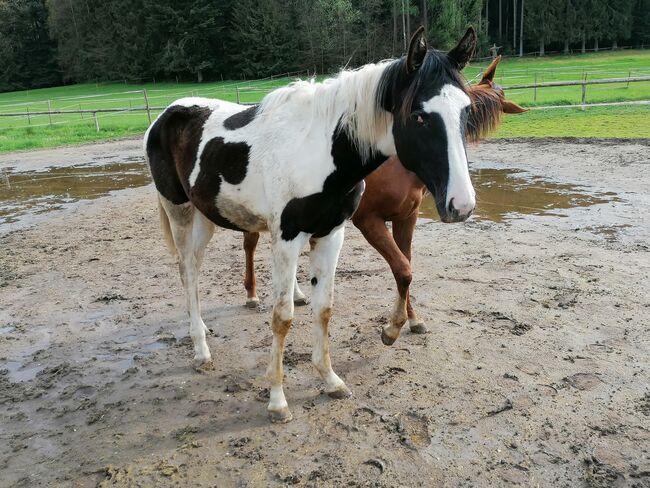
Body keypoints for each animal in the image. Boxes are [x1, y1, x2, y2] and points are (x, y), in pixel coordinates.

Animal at [146, 27, 476, 424]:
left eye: (467, 110)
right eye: (419, 117)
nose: (461, 205)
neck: (321, 150)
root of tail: (166, 114)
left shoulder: (331, 234)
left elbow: (325, 308)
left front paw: (330, 380)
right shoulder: (288, 237)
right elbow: (282, 317)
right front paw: (277, 400)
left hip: (205, 216)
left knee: (193, 267)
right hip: (179, 212)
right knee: (188, 271)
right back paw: (200, 349)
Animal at [240, 56, 524, 336]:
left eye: (467, 113)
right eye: (421, 119)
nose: (460, 204)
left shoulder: (407, 217)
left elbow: (405, 266)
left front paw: (412, 319)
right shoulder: (369, 220)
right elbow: (401, 268)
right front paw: (394, 326)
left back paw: (297, 294)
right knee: (250, 243)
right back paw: (252, 295)